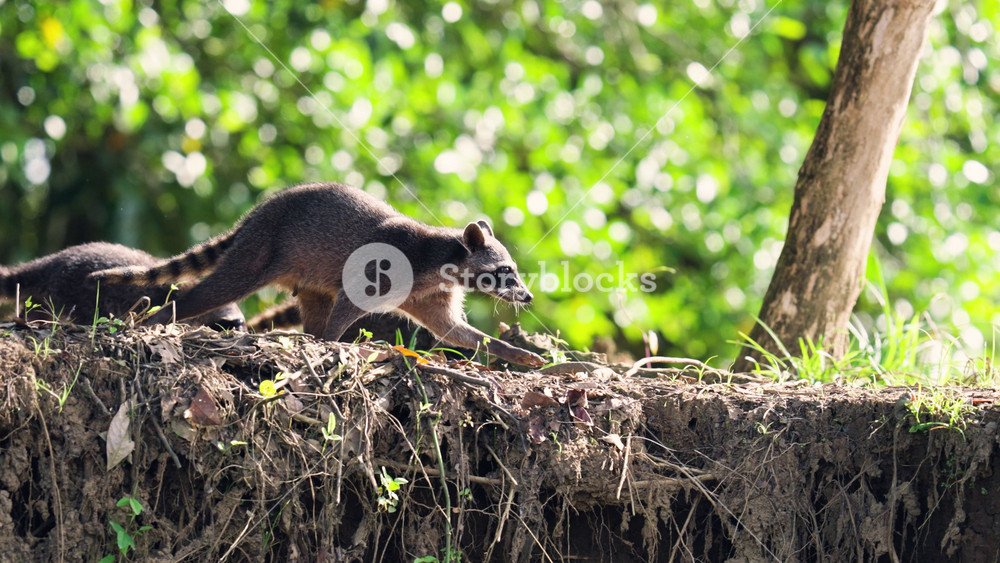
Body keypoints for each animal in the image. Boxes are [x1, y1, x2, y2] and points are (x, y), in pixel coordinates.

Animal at [90, 182, 544, 366]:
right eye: (505, 271)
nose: (527, 297)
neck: (446, 256)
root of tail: (256, 213)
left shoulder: (430, 294)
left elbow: (454, 330)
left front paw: (510, 350)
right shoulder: (386, 269)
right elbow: (349, 306)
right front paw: (335, 345)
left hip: (306, 276)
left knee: (313, 304)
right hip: (261, 249)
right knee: (215, 290)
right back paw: (156, 319)